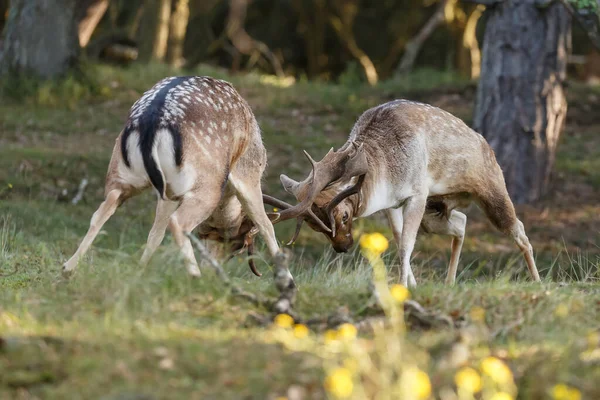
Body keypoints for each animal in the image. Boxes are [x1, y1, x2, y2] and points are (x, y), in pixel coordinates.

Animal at [62, 76, 326, 280]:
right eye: (237, 244)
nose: (214, 269)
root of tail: (151, 122)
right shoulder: (248, 173)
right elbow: (266, 224)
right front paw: (290, 281)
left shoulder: (168, 193)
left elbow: (154, 234)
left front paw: (140, 270)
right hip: (207, 184)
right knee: (179, 223)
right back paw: (195, 275)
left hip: (122, 173)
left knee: (104, 209)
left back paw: (68, 268)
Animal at [270, 100, 540, 288]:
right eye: (315, 226)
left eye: (344, 216)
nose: (343, 247)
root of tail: (487, 146)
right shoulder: (392, 204)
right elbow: (400, 240)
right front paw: (412, 284)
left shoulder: (417, 193)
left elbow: (406, 246)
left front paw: (402, 287)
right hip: (436, 209)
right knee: (461, 222)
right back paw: (449, 282)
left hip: (491, 188)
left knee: (519, 228)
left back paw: (537, 281)